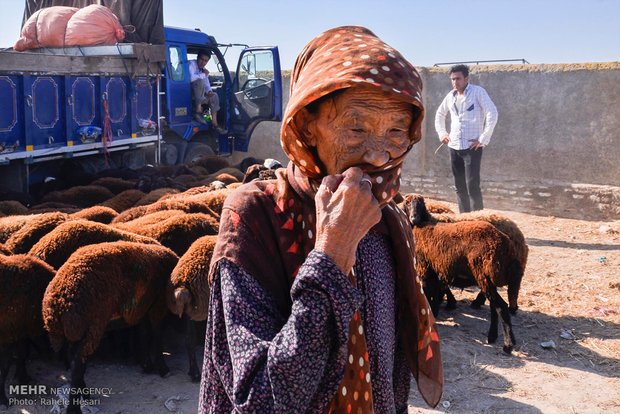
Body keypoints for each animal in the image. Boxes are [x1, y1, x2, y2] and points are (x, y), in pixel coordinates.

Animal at [0, 254, 55, 406]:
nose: (52, 356)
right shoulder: (9, 338)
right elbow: (5, 367)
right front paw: (3, 399)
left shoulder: (18, 333)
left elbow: (21, 354)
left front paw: (23, 377)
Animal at [42, 241, 179, 412]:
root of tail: (56, 304)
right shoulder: (157, 306)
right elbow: (156, 336)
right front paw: (162, 368)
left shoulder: (144, 309)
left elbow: (144, 333)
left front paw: (147, 365)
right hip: (92, 327)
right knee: (77, 366)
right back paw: (74, 408)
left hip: (77, 331)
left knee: (74, 360)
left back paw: (85, 393)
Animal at [406, 194, 520, 352]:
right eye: (407, 203)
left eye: (421, 204)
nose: (414, 218)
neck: (423, 225)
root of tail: (508, 248)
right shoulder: (435, 271)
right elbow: (434, 294)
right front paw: (435, 312)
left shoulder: (424, 268)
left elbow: (428, 294)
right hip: (489, 279)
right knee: (494, 307)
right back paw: (492, 337)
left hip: (483, 276)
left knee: (501, 307)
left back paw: (508, 345)